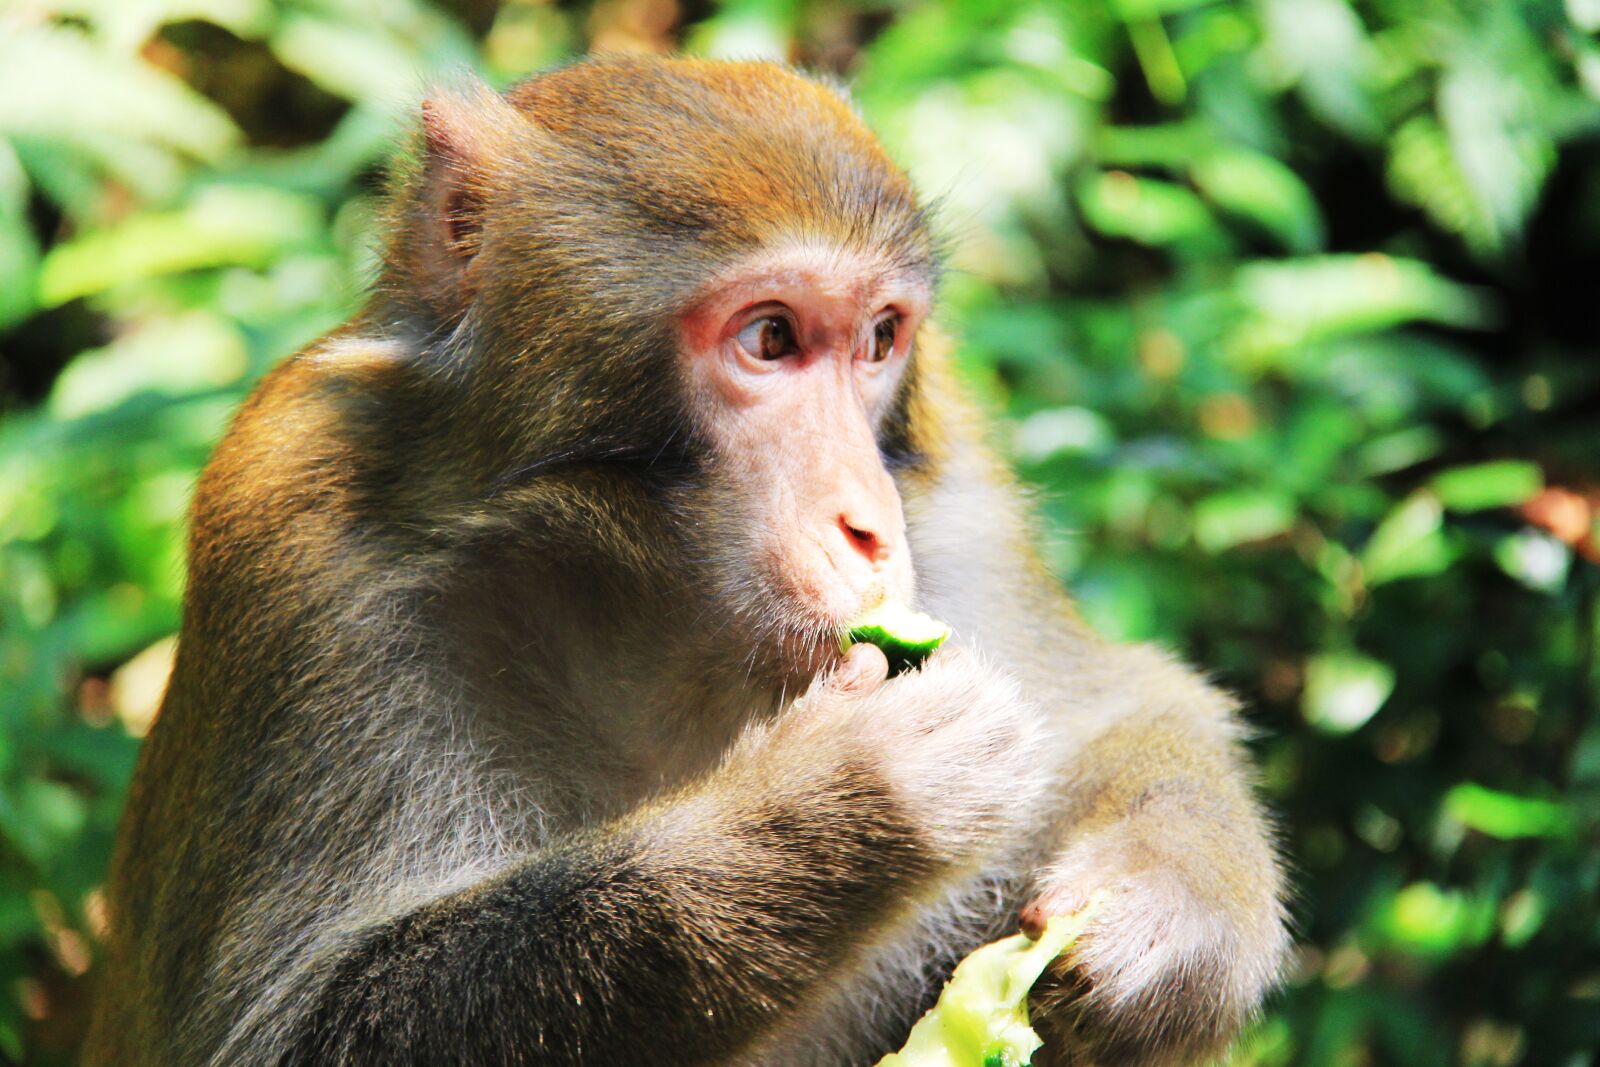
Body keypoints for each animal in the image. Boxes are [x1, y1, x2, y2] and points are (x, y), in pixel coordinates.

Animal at [81, 56, 1288, 1067]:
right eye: (770, 338)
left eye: (881, 338)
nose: (870, 525)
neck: (650, 606)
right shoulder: (293, 528)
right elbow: (293, 1024)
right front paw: (838, 805)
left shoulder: (958, 487)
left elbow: (1129, 701)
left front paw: (1165, 915)